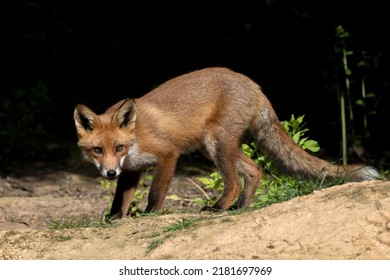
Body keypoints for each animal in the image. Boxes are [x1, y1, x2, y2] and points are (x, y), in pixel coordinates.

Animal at [74, 67, 380, 219]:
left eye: (119, 148)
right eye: (98, 150)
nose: (110, 172)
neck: (136, 140)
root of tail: (252, 84)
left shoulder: (168, 155)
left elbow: (155, 193)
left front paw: (150, 215)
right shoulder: (132, 169)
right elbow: (121, 198)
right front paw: (114, 218)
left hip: (216, 144)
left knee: (232, 182)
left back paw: (219, 207)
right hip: (217, 146)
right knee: (255, 170)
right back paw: (241, 207)